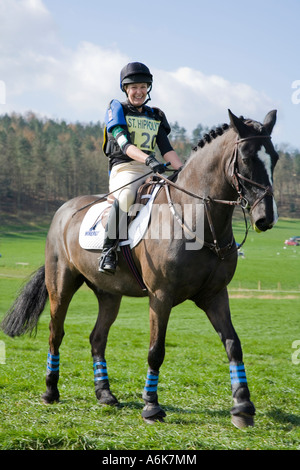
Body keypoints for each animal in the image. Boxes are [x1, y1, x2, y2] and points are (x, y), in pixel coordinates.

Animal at [1, 110, 278, 430]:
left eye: (274, 157)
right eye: (246, 158)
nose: (266, 218)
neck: (198, 220)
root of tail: (63, 210)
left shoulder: (215, 295)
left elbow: (233, 344)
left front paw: (243, 407)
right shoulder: (161, 296)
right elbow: (156, 351)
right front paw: (151, 406)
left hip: (109, 294)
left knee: (97, 338)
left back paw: (105, 394)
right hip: (61, 285)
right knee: (55, 333)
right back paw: (50, 391)